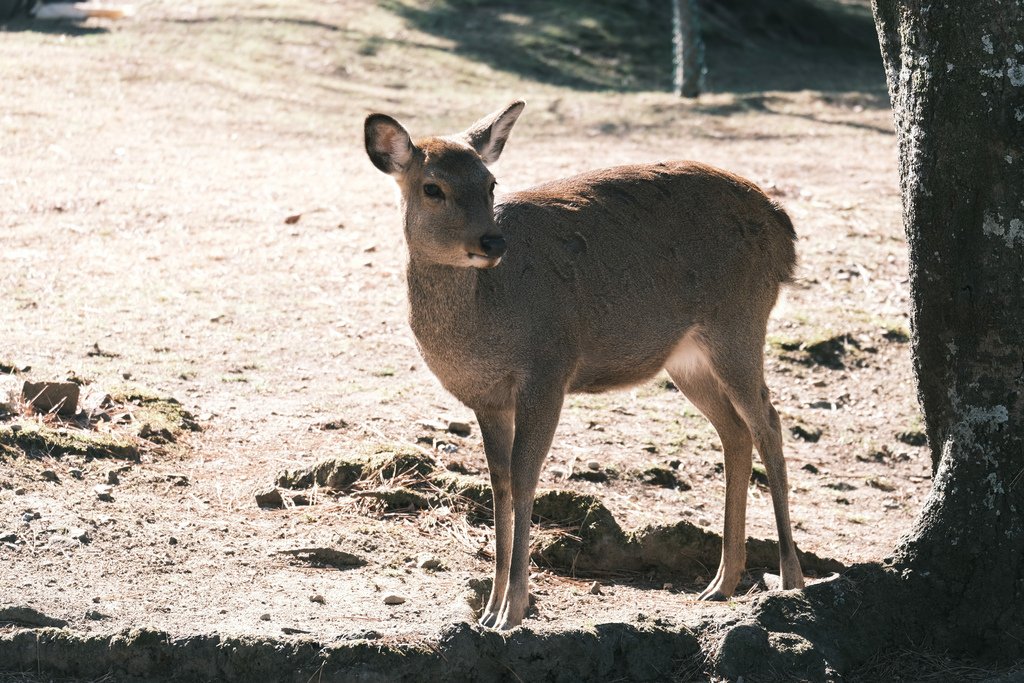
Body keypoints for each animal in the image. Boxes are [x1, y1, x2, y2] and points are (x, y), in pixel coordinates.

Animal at [364, 100, 802, 630]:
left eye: (490, 183)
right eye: (432, 187)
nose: (493, 243)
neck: (486, 324)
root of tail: (783, 229)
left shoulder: (548, 368)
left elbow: (526, 476)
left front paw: (513, 611)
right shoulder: (488, 400)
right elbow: (499, 483)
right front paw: (488, 609)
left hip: (739, 321)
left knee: (768, 422)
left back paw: (791, 578)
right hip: (687, 358)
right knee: (736, 432)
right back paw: (721, 583)